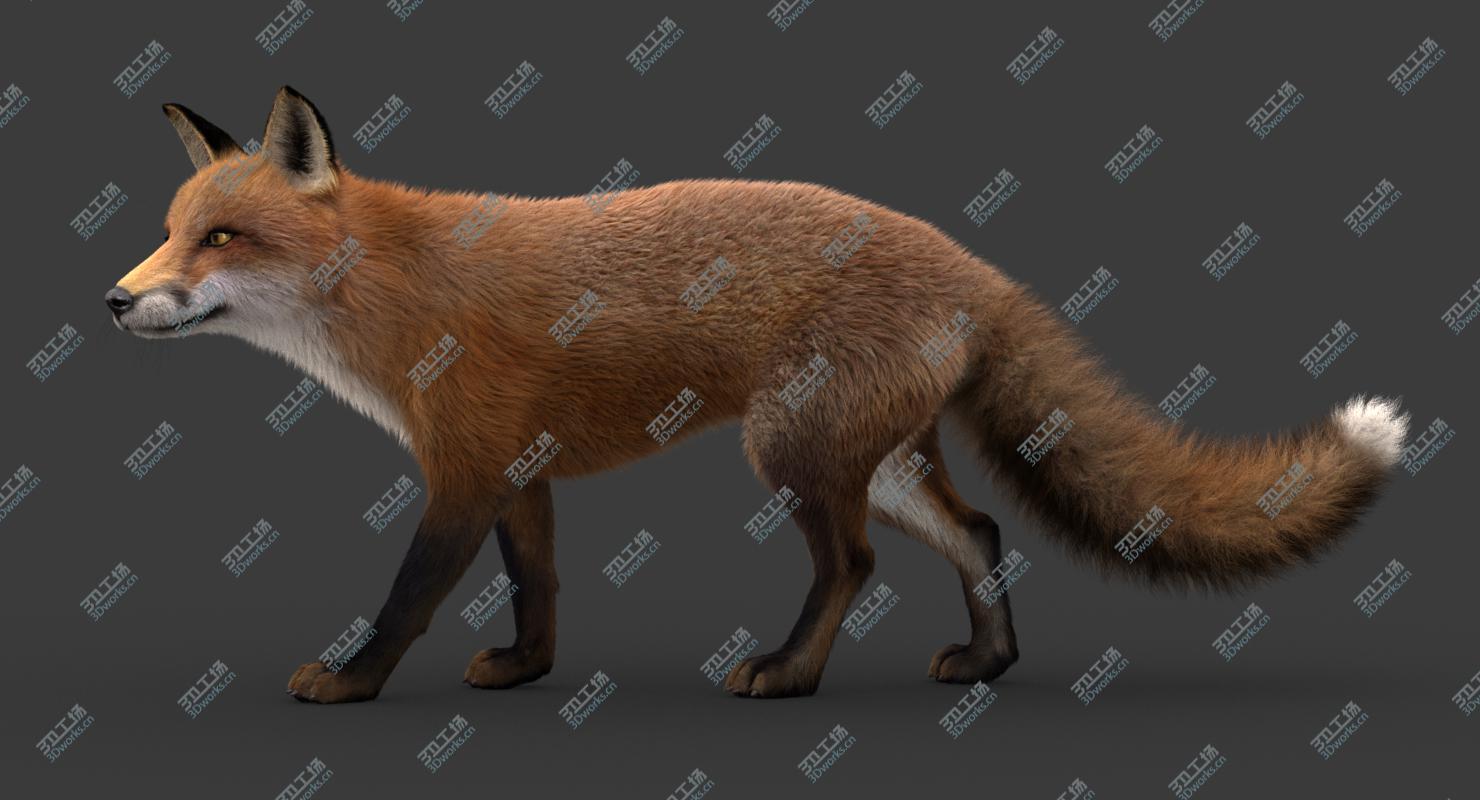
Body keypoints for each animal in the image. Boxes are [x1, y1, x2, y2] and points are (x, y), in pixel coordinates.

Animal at [108, 86, 1409, 703]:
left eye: (222, 238)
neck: (392, 287)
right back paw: (986, 661)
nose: (117, 301)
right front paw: (527, 669)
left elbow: (407, 594)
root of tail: (969, 260)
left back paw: (787, 671)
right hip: (876, 457)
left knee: (853, 565)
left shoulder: (466, 468)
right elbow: (537, 585)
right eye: (169, 230)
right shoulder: (519, 469)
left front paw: (351, 680)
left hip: (792, 451)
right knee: (981, 529)